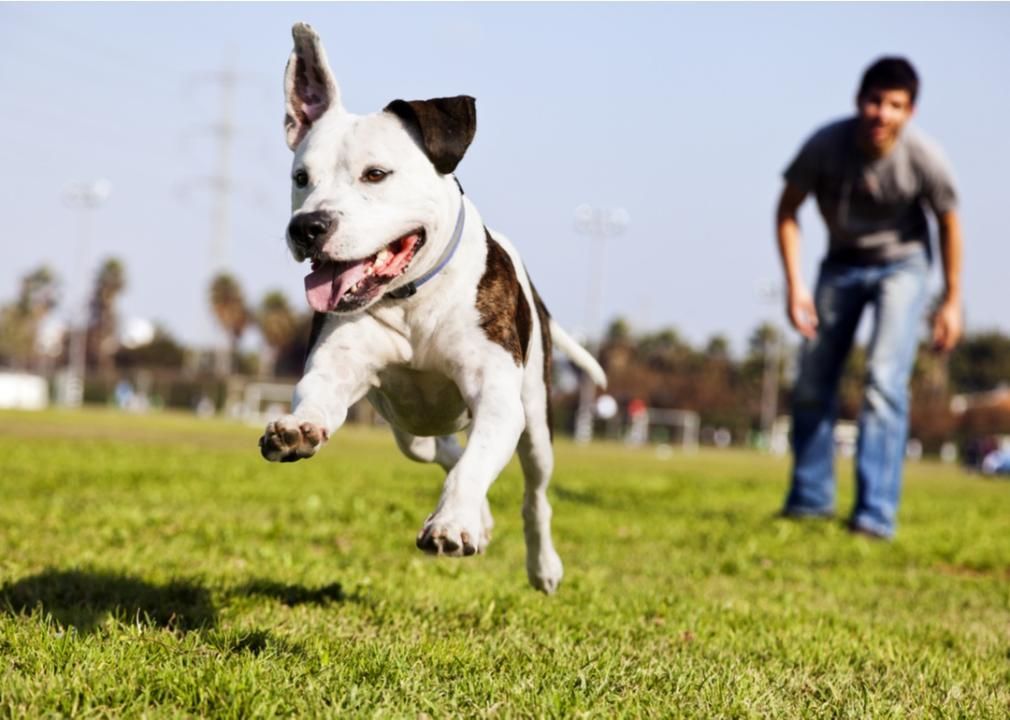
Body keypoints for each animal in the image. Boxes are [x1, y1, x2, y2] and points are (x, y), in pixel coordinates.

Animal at [262, 23, 606, 593]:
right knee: (439, 450)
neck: (412, 298)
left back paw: (541, 564)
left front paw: (453, 523)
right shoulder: (337, 368)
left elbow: (477, 463)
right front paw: (297, 430)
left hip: (536, 420)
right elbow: (317, 396)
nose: (307, 227)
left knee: (533, 493)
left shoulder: (497, 397)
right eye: (300, 178)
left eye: (376, 174)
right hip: (408, 428)